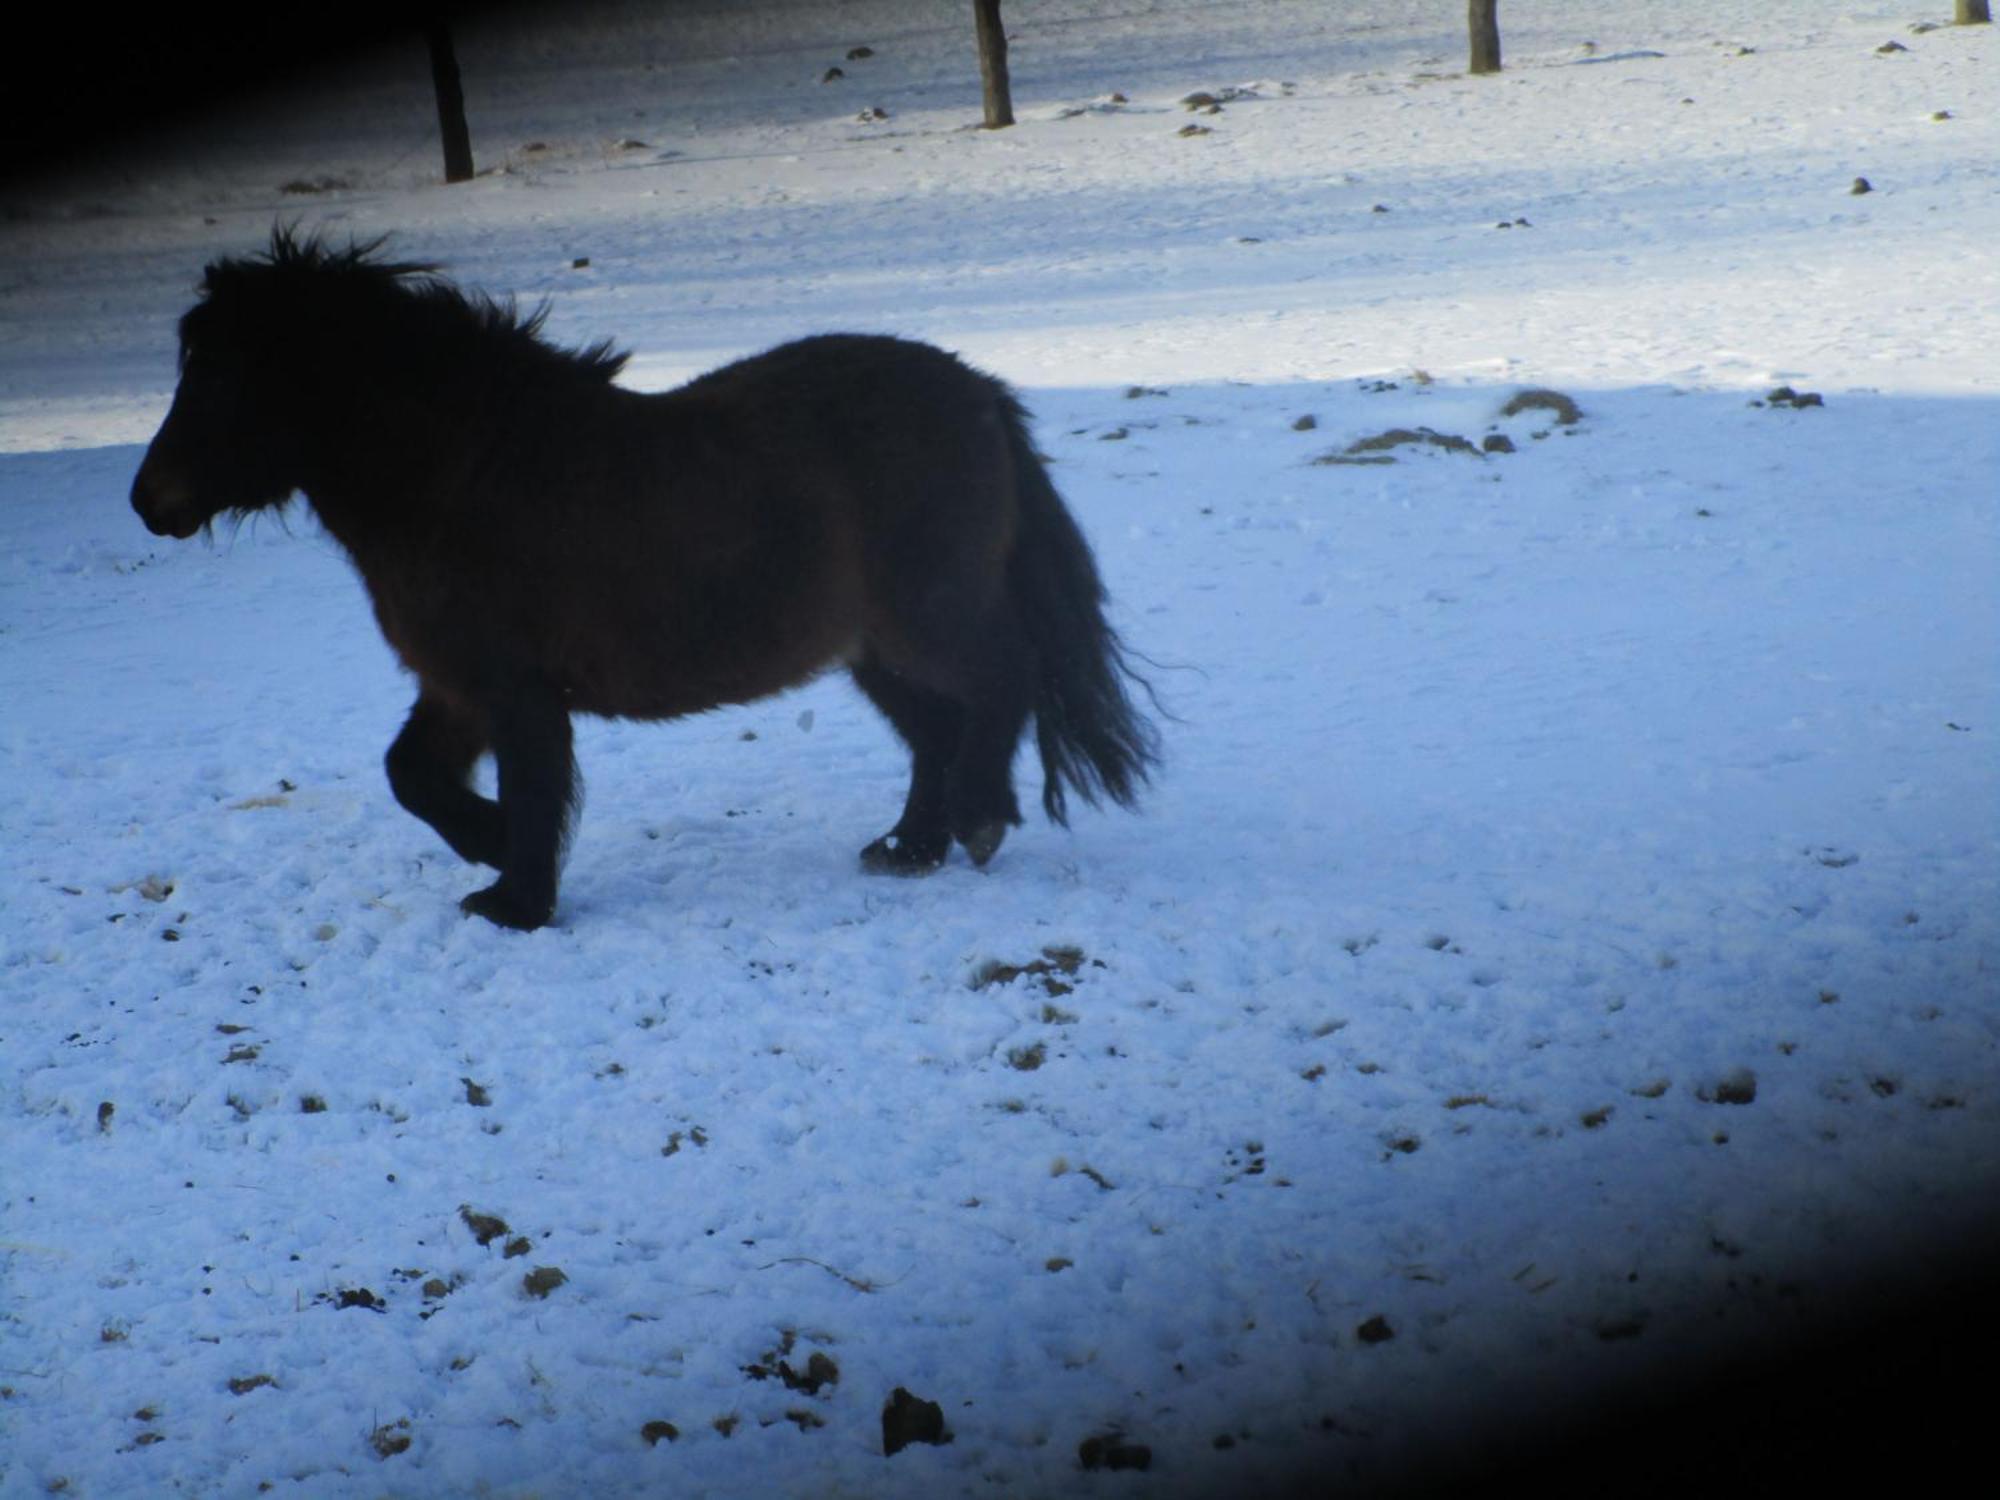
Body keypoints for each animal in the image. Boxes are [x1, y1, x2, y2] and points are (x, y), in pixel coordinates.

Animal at [133, 232, 1160, 928]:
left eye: (224, 376)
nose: (149, 500)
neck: (466, 474)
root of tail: (980, 393)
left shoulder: (517, 693)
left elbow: (533, 791)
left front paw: (517, 899)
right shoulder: (458, 687)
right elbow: (411, 776)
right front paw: (491, 852)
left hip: (929, 617)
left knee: (1001, 684)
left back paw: (979, 819)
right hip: (873, 649)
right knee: (940, 728)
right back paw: (909, 849)